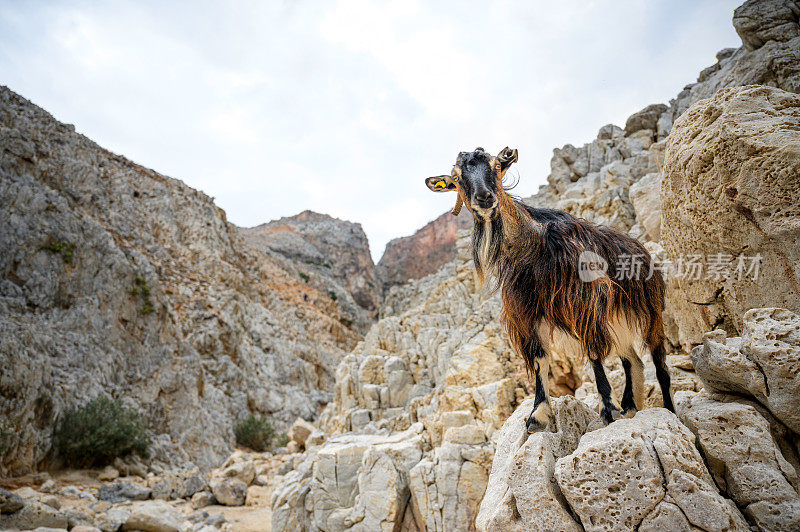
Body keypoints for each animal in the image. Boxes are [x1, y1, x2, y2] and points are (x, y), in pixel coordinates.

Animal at [422, 148, 672, 430]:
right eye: (456, 177)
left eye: (496, 166)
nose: (484, 197)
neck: (533, 249)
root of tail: (641, 249)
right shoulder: (526, 315)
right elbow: (540, 359)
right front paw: (538, 414)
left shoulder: (584, 304)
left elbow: (593, 352)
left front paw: (609, 408)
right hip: (617, 320)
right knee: (633, 360)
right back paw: (631, 407)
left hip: (650, 312)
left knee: (659, 364)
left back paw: (665, 408)